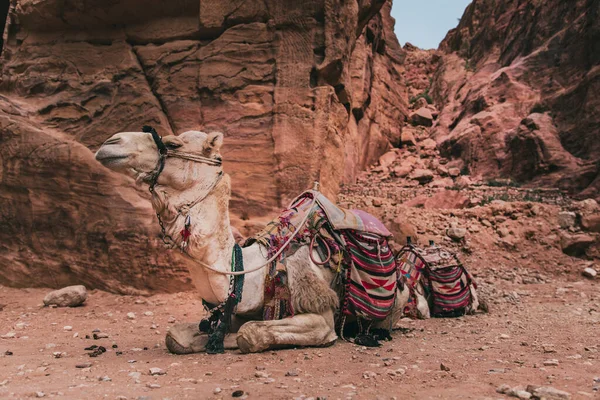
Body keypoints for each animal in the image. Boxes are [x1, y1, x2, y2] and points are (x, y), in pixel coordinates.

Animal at [95, 128, 412, 354]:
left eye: (172, 144)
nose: (110, 142)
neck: (253, 270)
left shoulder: (321, 315)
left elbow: (250, 333)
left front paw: (227, 339)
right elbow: (175, 336)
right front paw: (213, 337)